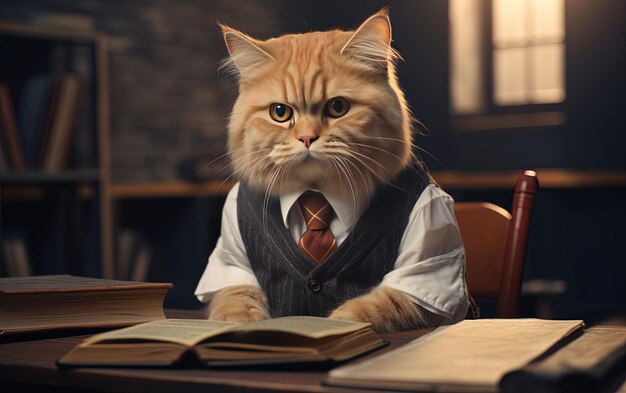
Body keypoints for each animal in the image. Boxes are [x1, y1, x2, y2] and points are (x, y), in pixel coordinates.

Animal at [197, 9, 466, 330]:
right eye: (280, 113)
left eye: (338, 107)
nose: (307, 138)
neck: (316, 194)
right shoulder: (233, 259)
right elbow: (234, 299)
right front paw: (239, 326)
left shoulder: (424, 256)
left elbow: (372, 308)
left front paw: (334, 326)